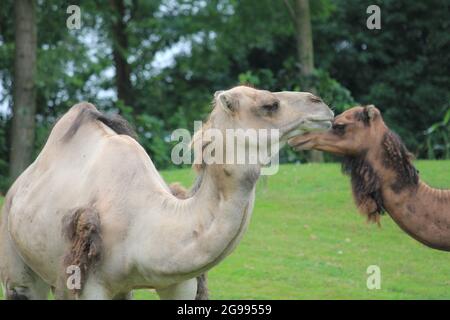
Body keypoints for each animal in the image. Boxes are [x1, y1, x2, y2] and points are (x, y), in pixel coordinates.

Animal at [0, 85, 330, 300]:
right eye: (269, 105)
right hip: (18, 264)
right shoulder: (87, 283)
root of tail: (15, 190)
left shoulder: (180, 283)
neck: (143, 225)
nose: (321, 104)